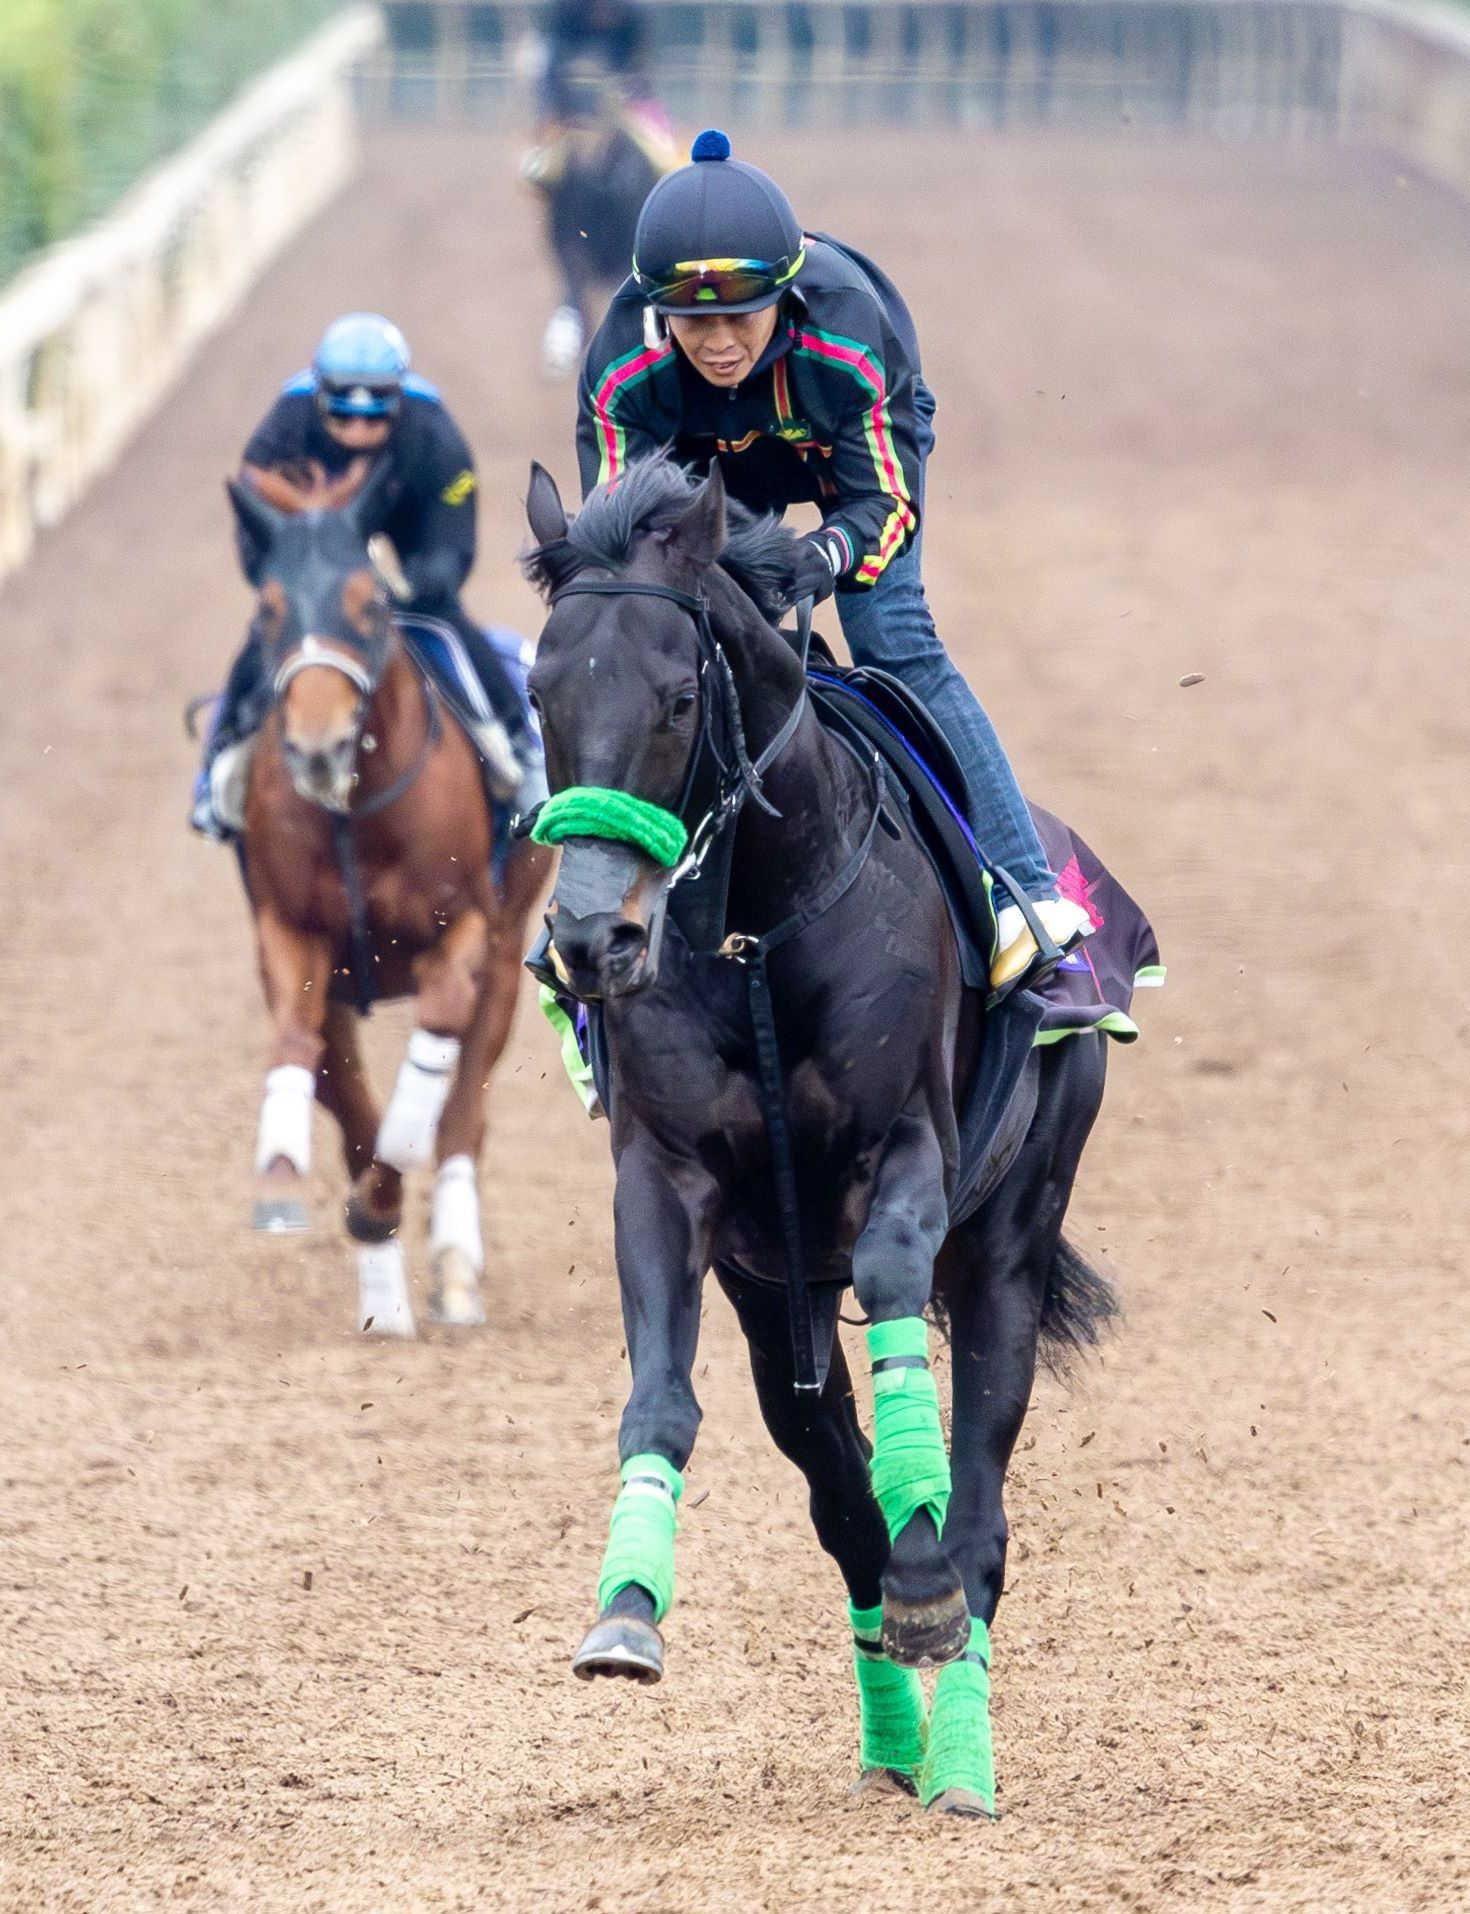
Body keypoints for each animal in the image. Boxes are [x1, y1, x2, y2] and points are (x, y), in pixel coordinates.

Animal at [226, 457, 547, 1339]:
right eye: (268, 609)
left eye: (369, 603)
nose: (318, 745)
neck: (357, 810)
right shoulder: (292, 936)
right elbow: (309, 1057)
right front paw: (287, 1177)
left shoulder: (466, 927)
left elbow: (432, 1050)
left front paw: (401, 1158)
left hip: (511, 951)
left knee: (466, 1107)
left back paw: (457, 1266)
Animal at [520, 455, 1117, 1814]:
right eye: (535, 691)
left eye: (681, 696)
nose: (592, 941)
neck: (756, 929)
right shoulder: (672, 1182)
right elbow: (663, 1400)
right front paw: (625, 1611)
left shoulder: (908, 1150)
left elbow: (899, 1298)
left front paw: (927, 1586)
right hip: (775, 1296)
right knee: (839, 1502)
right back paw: (898, 1738)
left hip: (1013, 1235)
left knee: (983, 1515)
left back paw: (959, 1753)